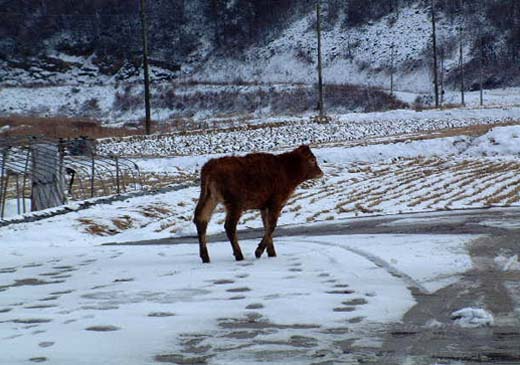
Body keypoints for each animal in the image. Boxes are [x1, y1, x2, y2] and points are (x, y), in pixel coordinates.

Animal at [192, 145, 320, 262]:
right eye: (312, 160)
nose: (321, 172)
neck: (287, 170)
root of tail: (210, 166)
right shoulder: (276, 202)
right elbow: (272, 226)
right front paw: (259, 251)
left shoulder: (264, 206)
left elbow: (266, 225)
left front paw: (271, 253)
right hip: (235, 204)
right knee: (229, 226)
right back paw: (239, 255)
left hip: (209, 198)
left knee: (201, 220)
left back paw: (205, 257)